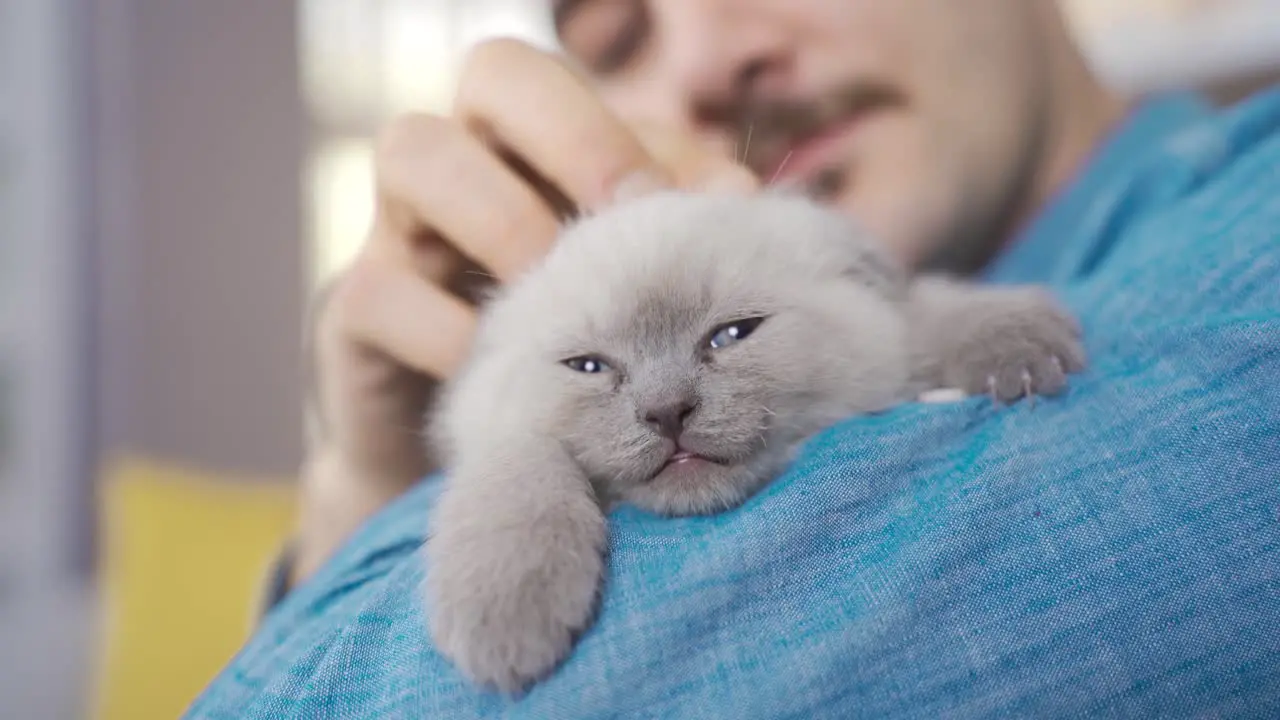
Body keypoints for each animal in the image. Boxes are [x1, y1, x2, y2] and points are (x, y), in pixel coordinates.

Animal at [424, 188, 1085, 691]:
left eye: (732, 335)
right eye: (588, 367)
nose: (667, 412)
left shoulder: (893, 323)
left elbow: (924, 311)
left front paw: (1020, 343)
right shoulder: (499, 433)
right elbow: (519, 471)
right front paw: (507, 617)